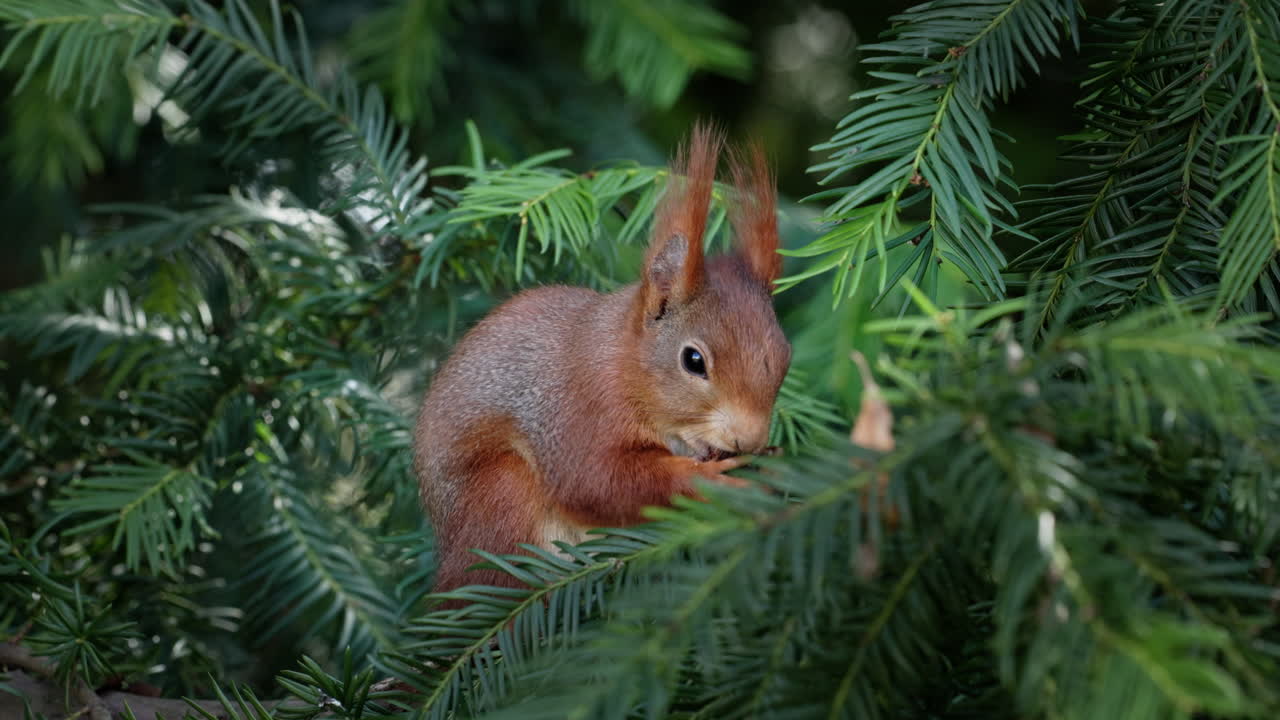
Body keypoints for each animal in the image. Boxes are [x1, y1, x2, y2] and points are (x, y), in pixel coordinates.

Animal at [413, 124, 791, 602]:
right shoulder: (578, 411)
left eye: (785, 356)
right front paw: (710, 480)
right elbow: (596, 479)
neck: (624, 364)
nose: (751, 438)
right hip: (501, 495)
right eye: (693, 360)